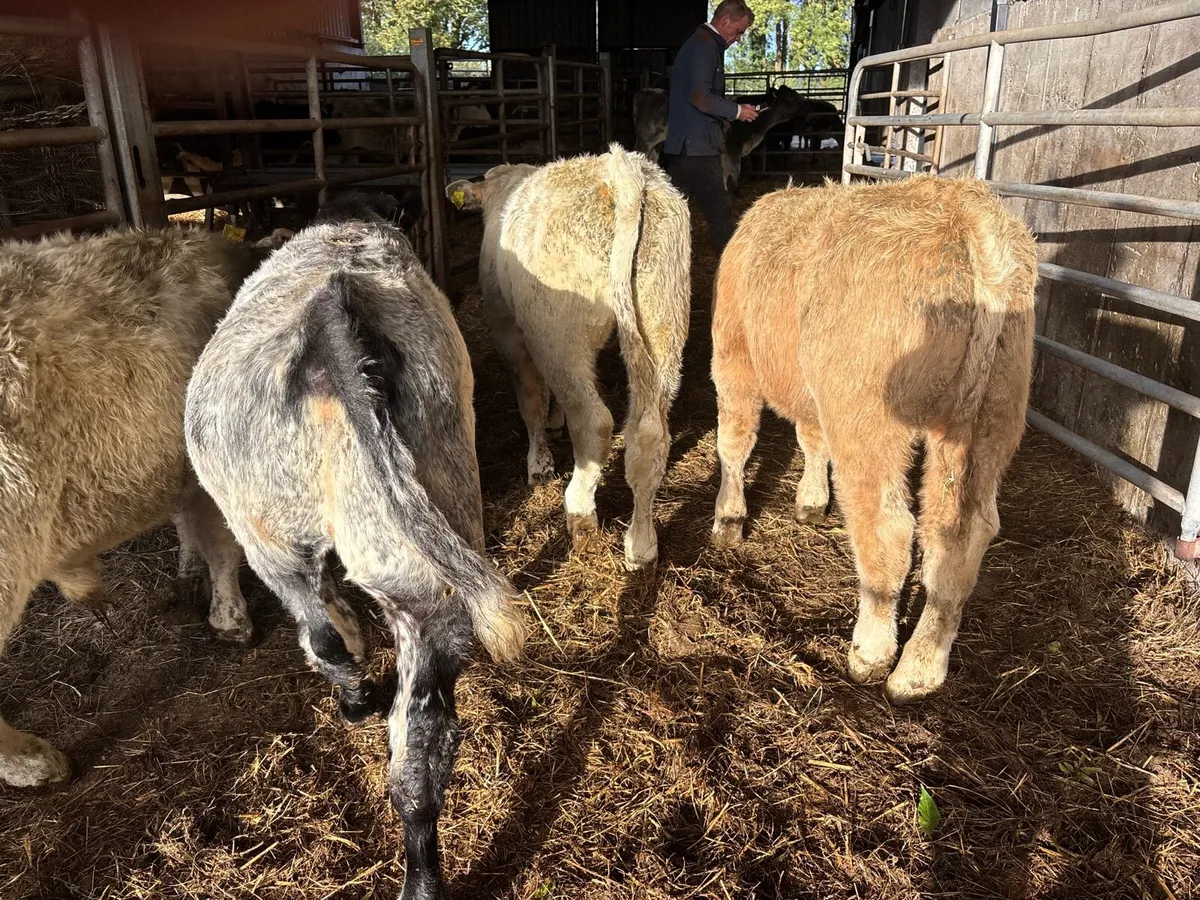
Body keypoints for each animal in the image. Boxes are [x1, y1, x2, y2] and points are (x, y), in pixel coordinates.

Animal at [0, 226, 264, 788]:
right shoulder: (206, 471)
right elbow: (222, 547)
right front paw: (230, 619)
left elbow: (190, 528)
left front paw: (189, 571)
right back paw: (35, 763)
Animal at [183, 191, 526, 900]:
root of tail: (330, 322)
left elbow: (326, 630)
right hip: (420, 569)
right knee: (421, 745)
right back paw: (421, 878)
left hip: (269, 537)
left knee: (322, 635)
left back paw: (355, 700)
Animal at [445, 144, 690, 571]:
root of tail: (621, 170)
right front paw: (555, 421)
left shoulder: (507, 328)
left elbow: (530, 398)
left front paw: (539, 463)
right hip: (662, 324)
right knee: (649, 433)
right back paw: (641, 545)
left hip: (559, 334)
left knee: (594, 422)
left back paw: (579, 514)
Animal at [710, 175, 1037, 705]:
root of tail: (966, 212)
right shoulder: (814, 395)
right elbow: (811, 440)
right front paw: (811, 500)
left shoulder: (733, 356)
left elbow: (735, 442)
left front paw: (728, 518)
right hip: (990, 418)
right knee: (958, 533)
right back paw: (919, 669)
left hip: (869, 421)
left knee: (887, 525)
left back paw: (871, 651)